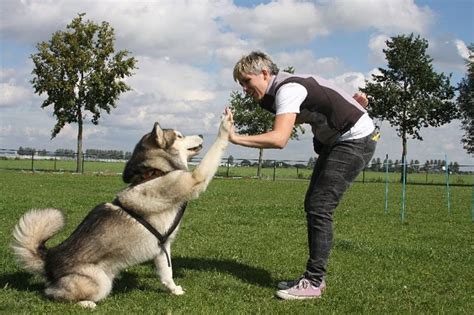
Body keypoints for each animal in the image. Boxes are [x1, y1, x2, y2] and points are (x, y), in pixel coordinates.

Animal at [10, 113, 231, 308]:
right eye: (179, 136)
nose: (201, 134)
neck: (155, 172)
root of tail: (50, 260)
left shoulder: (162, 246)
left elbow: (167, 273)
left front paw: (174, 290)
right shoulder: (195, 179)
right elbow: (213, 154)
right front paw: (225, 127)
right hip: (100, 282)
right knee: (52, 294)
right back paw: (87, 303)